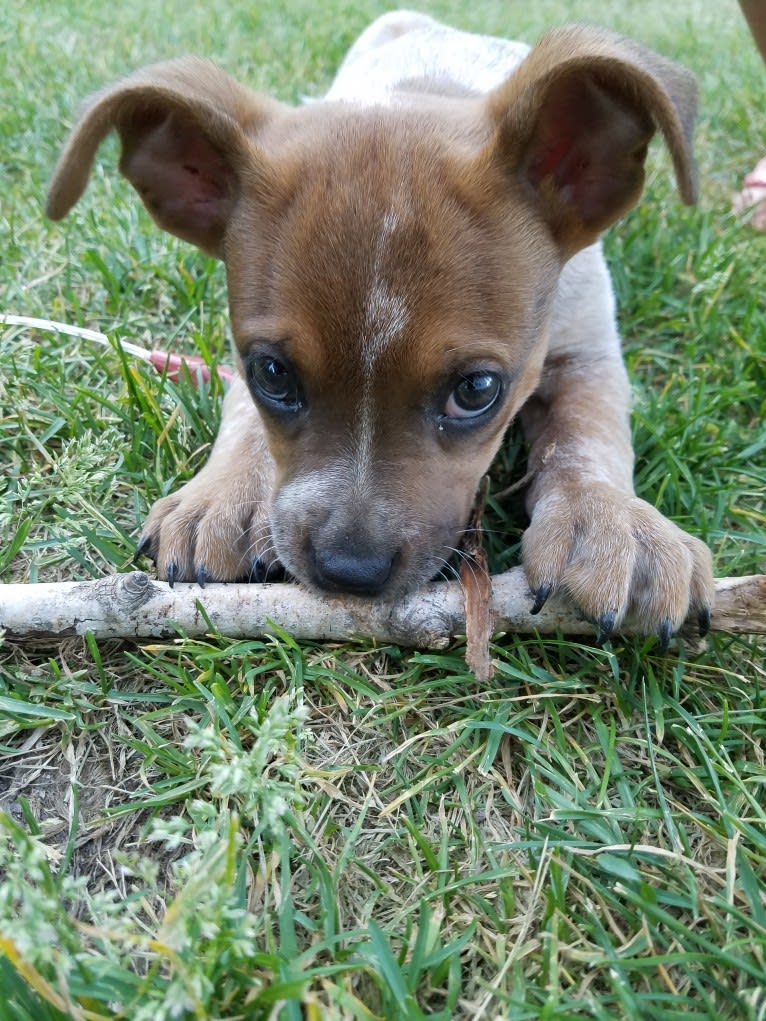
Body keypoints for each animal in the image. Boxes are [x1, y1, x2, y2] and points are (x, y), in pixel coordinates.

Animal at [48, 11, 719, 637]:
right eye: (272, 375)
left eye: (477, 390)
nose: (350, 571)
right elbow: (241, 419)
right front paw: (224, 494)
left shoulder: (588, 352)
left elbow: (589, 434)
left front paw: (609, 520)